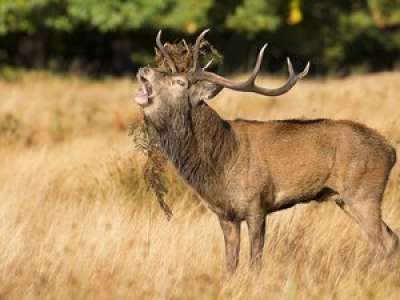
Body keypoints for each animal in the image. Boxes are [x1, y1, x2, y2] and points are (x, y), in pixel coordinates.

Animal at [135, 29, 400, 274]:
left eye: (179, 82)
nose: (144, 70)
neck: (221, 163)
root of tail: (391, 151)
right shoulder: (225, 214)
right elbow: (230, 264)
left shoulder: (256, 204)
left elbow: (255, 261)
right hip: (344, 198)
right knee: (390, 238)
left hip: (364, 192)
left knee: (385, 241)